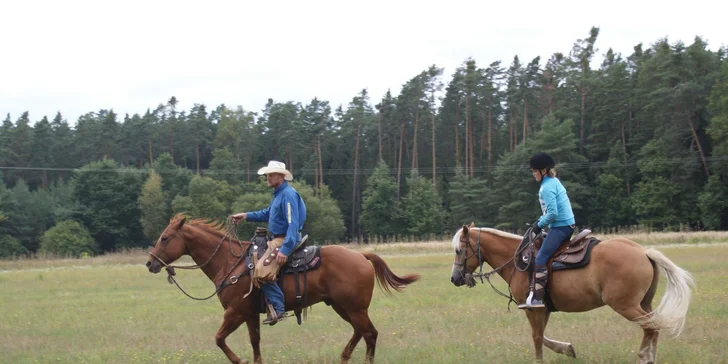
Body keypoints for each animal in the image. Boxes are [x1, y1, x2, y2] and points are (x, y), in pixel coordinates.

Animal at [145, 215, 418, 362]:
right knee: (361, 332)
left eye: (166, 237)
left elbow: (219, 339)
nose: (150, 263)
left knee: (370, 334)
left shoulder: (235, 312)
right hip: (342, 307)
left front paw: (240, 360)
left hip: (354, 308)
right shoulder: (250, 314)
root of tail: (361, 256)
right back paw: (344, 357)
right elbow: (255, 341)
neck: (229, 262)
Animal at [450, 223, 692, 364]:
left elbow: (537, 337)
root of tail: (644, 252)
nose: (455, 278)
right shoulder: (544, 308)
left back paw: (644, 357)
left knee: (651, 326)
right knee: (653, 327)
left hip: (626, 305)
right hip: (644, 303)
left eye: (459, 250)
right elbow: (543, 337)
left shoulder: (532, 309)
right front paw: (567, 349)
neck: (518, 260)